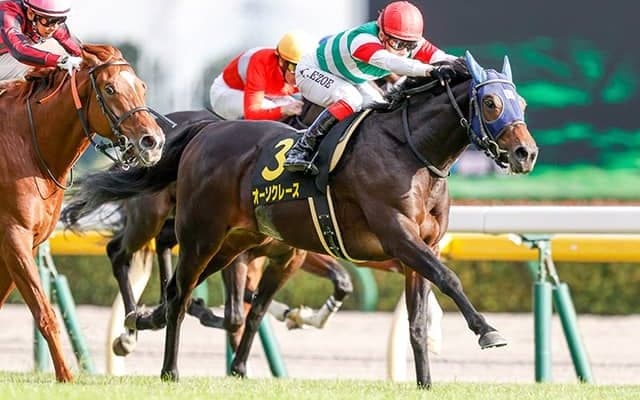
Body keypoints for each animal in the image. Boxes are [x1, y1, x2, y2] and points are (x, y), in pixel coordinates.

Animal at [0, 44, 166, 382]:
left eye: (142, 86)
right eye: (110, 88)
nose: (153, 142)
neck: (27, 146)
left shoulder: (25, 243)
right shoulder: (13, 237)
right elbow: (45, 312)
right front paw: (66, 375)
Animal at [61, 53, 538, 387]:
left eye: (521, 102)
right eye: (491, 102)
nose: (526, 153)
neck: (411, 151)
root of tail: (203, 131)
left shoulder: (413, 247)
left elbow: (418, 319)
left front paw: (424, 382)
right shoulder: (398, 237)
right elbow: (449, 278)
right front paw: (488, 331)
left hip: (232, 242)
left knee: (181, 286)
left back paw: (144, 320)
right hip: (197, 233)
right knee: (158, 275)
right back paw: (166, 365)